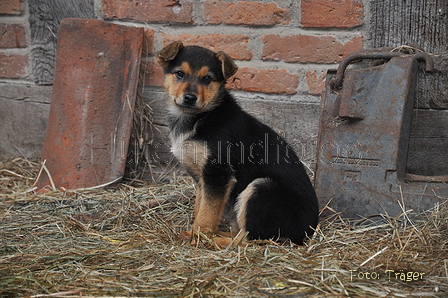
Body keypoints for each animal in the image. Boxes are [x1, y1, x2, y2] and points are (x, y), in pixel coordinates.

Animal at [158, 41, 318, 247]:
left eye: (207, 79)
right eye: (179, 74)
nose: (190, 98)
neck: (201, 117)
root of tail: (309, 231)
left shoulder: (218, 174)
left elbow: (206, 213)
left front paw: (198, 237)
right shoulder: (202, 177)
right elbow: (201, 207)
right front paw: (195, 232)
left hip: (261, 189)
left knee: (249, 240)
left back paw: (216, 240)